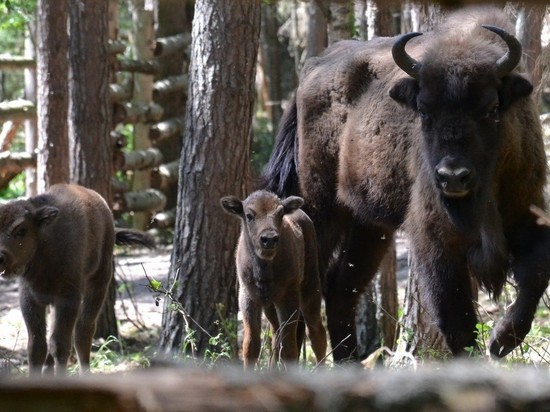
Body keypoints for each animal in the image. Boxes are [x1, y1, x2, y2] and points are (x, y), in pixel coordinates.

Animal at [0, 183, 155, 374]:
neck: (45, 240)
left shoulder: (68, 297)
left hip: (99, 281)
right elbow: (36, 347)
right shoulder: (30, 299)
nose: (0, 256)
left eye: (22, 230)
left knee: (83, 332)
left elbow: (60, 345)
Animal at [222, 190, 328, 366]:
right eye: (249, 215)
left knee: (316, 333)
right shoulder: (248, 298)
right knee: (276, 336)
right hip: (270, 307)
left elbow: (289, 348)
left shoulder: (288, 299)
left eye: (280, 214)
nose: (269, 239)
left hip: (310, 289)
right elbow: (251, 346)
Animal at [264, 7, 550, 360]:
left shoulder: (529, 214)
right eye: (424, 110)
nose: (452, 176)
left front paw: (500, 342)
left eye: (492, 107)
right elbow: (457, 321)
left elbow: (536, 273)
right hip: (320, 210)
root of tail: (311, 71)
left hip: (369, 226)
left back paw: (350, 362)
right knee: (304, 287)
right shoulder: (435, 240)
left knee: (341, 287)